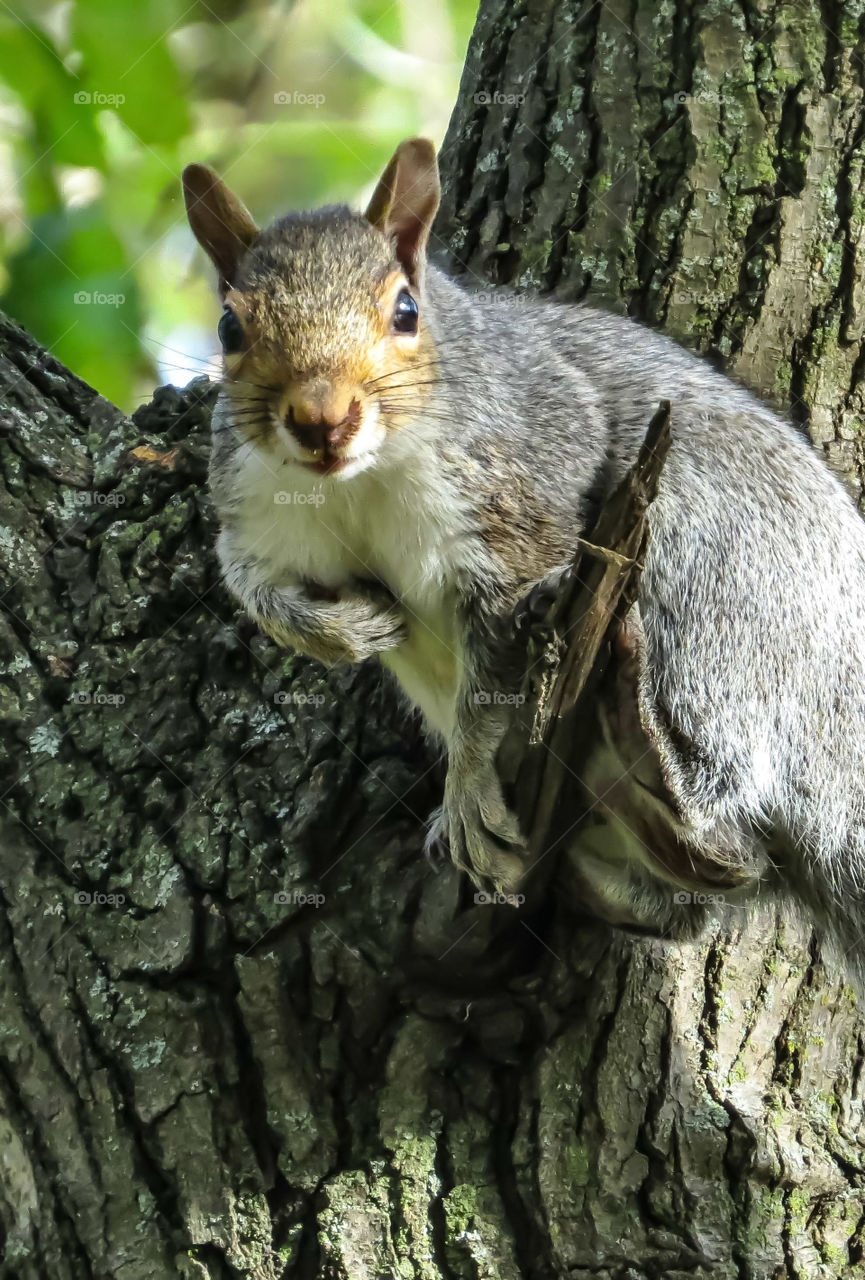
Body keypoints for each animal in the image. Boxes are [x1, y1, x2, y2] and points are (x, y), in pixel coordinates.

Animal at [183, 138, 865, 957]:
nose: (322, 419)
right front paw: (348, 630)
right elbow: (252, 589)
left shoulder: (526, 502)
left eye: (406, 311)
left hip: (720, 571)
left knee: (727, 821)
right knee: (702, 894)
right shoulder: (252, 514)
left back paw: (646, 757)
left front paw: (467, 789)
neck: (359, 481)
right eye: (229, 329)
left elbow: (494, 682)